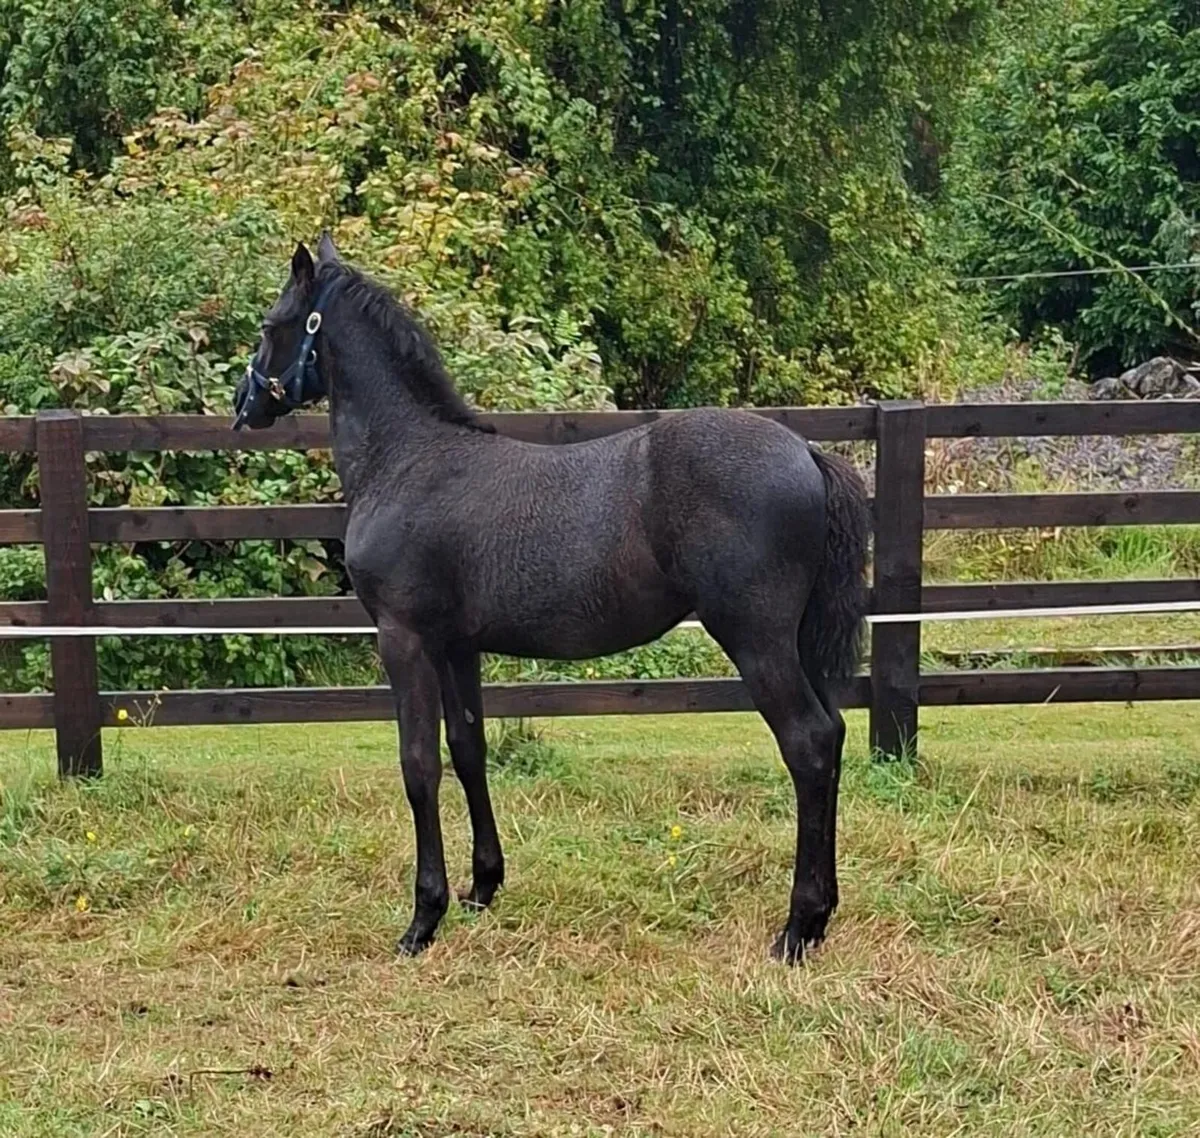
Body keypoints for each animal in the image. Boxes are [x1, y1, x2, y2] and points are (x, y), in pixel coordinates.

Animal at [233, 234, 871, 962]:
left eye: (271, 325)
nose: (244, 403)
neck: (407, 459)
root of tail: (808, 451)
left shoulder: (404, 639)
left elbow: (418, 765)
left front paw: (423, 919)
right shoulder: (457, 647)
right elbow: (468, 751)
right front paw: (482, 887)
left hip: (755, 639)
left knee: (809, 743)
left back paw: (797, 927)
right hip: (795, 642)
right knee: (834, 735)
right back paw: (821, 918)